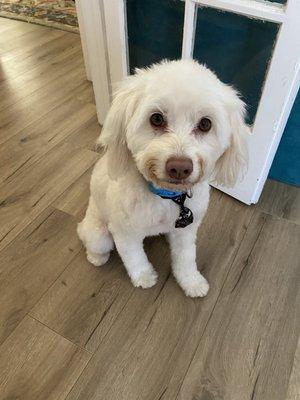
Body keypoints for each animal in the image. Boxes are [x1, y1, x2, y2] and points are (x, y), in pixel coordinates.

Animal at [78, 59, 248, 296]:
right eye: (156, 119)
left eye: (205, 124)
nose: (180, 167)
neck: (166, 196)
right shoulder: (125, 233)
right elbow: (135, 258)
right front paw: (144, 277)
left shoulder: (187, 232)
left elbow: (186, 258)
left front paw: (191, 281)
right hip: (99, 235)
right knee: (92, 243)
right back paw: (96, 258)